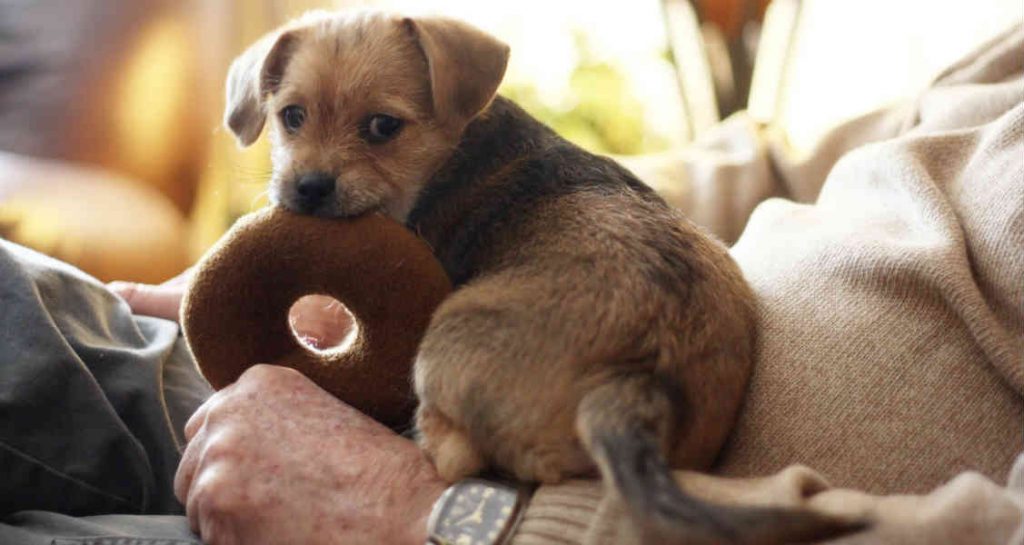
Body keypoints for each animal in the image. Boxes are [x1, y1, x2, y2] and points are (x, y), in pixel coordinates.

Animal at [226, 10, 864, 540]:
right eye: (291, 117)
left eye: (383, 126)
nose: (307, 188)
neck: (451, 151)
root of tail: (634, 382)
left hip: (442, 346)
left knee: (456, 454)